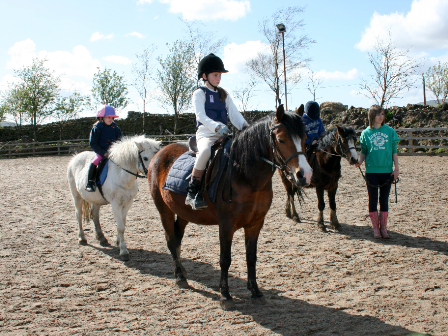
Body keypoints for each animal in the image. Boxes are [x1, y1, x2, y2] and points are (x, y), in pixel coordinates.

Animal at [148, 105, 312, 310]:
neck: (243, 174)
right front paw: (225, 295)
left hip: (183, 213)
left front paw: (255, 292)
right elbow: (225, 259)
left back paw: (182, 270)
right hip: (164, 210)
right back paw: (179, 277)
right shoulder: (226, 226)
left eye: (305, 139)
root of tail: (161, 152)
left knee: (177, 239)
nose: (304, 175)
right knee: (171, 240)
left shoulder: (255, 224)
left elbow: (251, 257)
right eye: (281, 139)